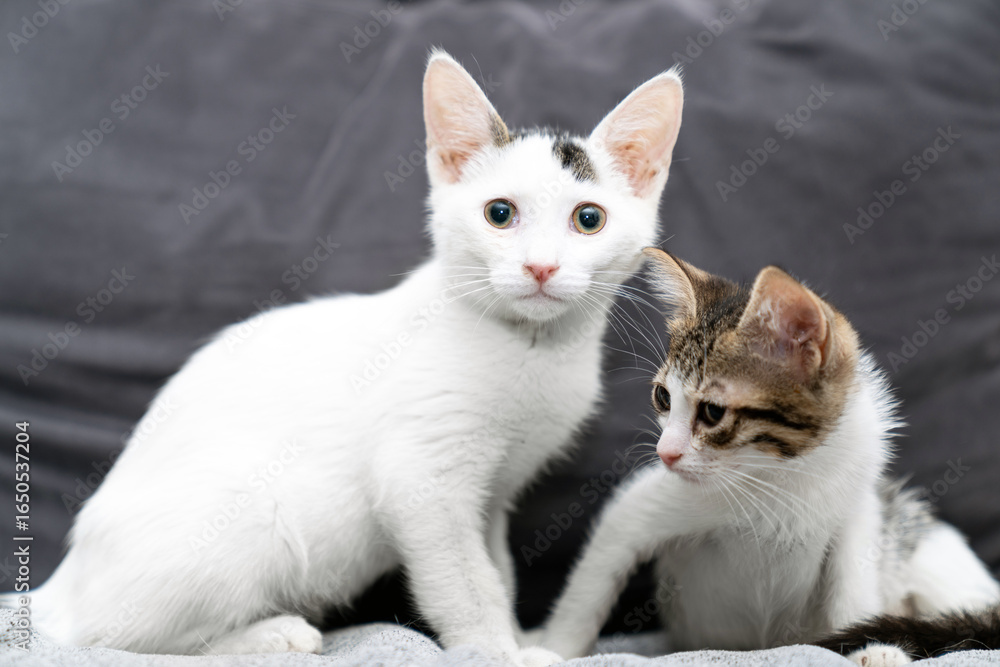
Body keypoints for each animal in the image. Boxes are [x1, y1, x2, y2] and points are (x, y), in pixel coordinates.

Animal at [6, 51, 684, 666]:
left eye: (588, 219)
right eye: (500, 214)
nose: (540, 267)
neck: (532, 347)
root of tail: (60, 584)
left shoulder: (493, 494)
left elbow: (496, 567)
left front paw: (519, 638)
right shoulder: (421, 478)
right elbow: (466, 581)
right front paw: (497, 650)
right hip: (253, 518)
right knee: (112, 636)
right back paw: (272, 636)